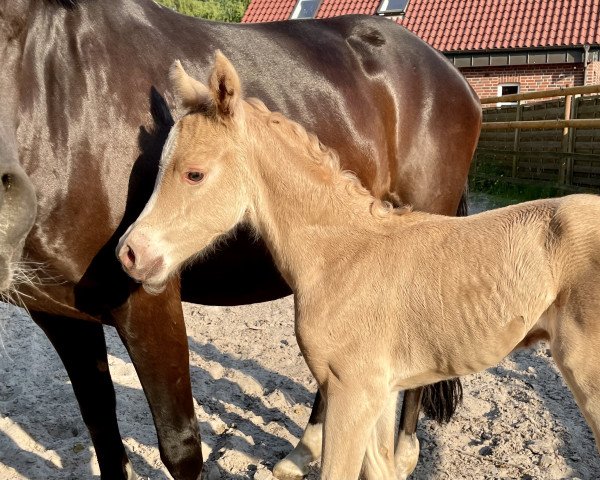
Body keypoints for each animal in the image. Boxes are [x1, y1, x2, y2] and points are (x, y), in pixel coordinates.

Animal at [3, 0, 478, 478]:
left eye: (194, 174)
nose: (131, 252)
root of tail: (450, 73)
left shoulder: (148, 303)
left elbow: (180, 446)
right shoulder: (61, 314)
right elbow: (102, 431)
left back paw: (403, 452)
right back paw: (304, 450)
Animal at [118, 50, 600, 478]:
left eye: (194, 173)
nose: (129, 253)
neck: (343, 254)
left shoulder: (353, 392)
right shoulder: (378, 393)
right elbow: (379, 470)